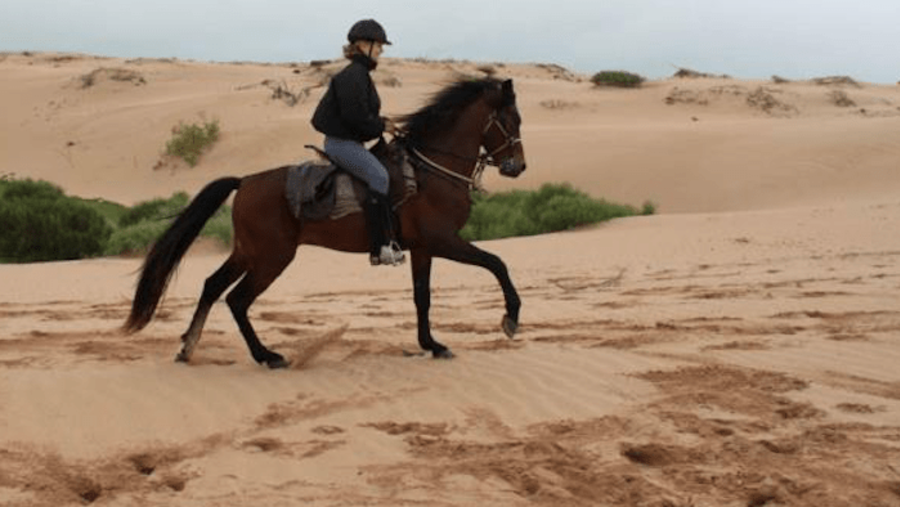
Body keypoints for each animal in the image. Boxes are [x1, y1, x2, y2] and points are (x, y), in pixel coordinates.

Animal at [124, 77, 527, 368]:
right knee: (237, 299)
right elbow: (497, 263)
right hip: (272, 257)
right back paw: (266, 356)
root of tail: (245, 181)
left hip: (247, 252)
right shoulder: (443, 240)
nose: (518, 167)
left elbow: (422, 297)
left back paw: (188, 348)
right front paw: (510, 318)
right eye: (511, 121)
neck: (431, 170)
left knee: (211, 286)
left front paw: (432, 344)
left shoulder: (423, 248)